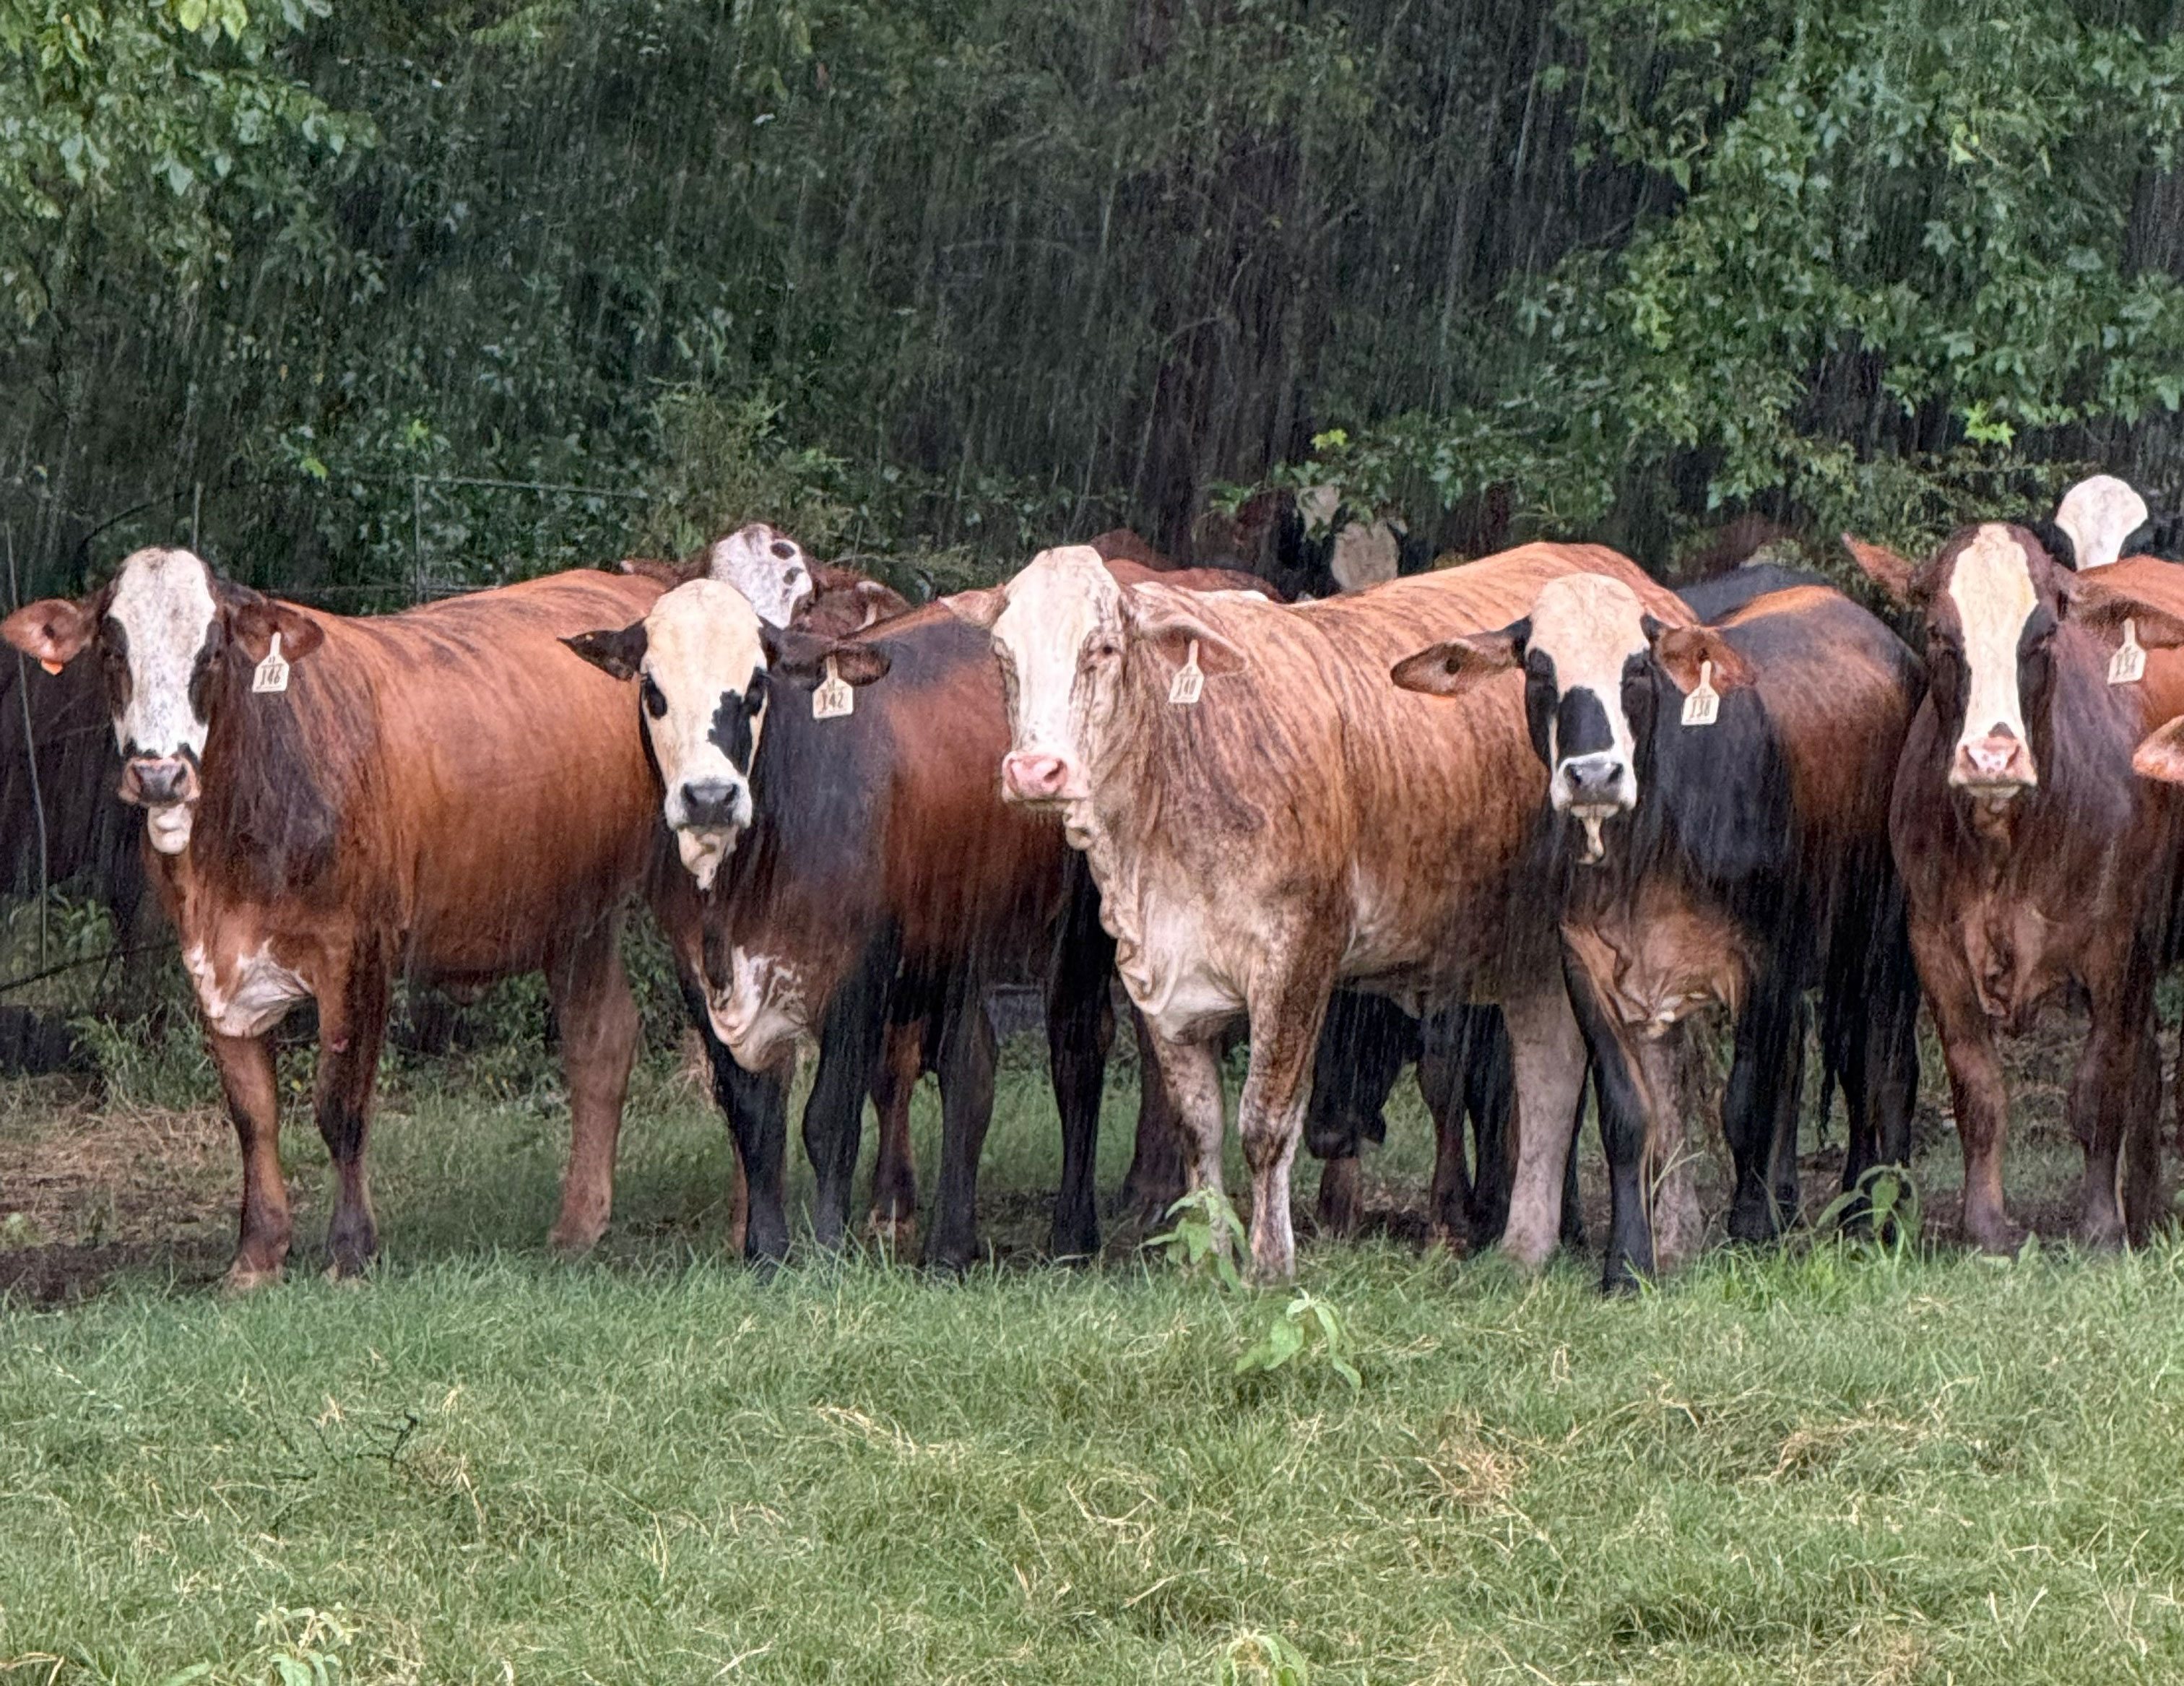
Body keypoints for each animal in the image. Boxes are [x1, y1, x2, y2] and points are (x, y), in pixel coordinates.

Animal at [0, 548, 705, 1287]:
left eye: (213, 652)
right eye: (113, 650)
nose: (160, 775)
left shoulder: (360, 952)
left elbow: (340, 1108)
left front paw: (350, 1250)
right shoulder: (210, 962)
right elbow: (252, 1114)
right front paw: (257, 1255)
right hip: (577, 914)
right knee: (600, 1040)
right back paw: (578, 1224)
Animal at [947, 542, 1691, 1281]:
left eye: (1101, 648)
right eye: (1004, 654)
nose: (1035, 770)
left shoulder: (1299, 957)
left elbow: (1266, 1120)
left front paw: (1268, 1264)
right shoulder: (1159, 973)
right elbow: (1199, 1125)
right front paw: (1210, 1258)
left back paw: (1662, 1238)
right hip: (1532, 954)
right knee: (1548, 1070)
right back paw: (1525, 1247)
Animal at [1393, 573, 1925, 1285]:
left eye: (1637, 669)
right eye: (1540, 669)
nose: (1593, 774)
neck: (1645, 849)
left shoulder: (1765, 965)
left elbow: (1746, 1104)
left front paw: (1750, 1233)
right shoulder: (1586, 967)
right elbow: (1628, 1118)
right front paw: (1627, 1264)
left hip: (1883, 943)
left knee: (1880, 1069)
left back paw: (1872, 1220)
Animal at [1847, 524, 2184, 1250]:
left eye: (2045, 636)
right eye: (1941, 633)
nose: (1992, 757)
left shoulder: (2119, 947)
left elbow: (2098, 1089)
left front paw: (2100, 1227)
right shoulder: (1934, 944)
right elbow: (1978, 1091)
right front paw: (1985, 1226)